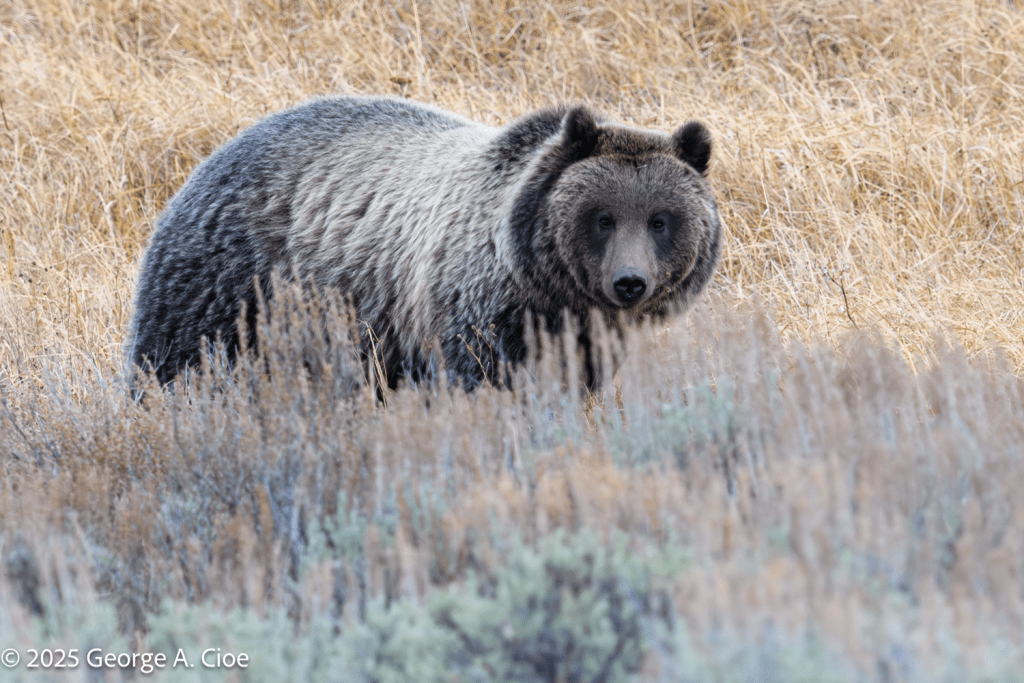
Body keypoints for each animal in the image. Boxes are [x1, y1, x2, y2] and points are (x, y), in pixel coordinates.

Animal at [125, 96, 722, 391]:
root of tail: (211, 158)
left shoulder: (587, 333)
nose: (630, 283)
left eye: (661, 220)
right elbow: (484, 378)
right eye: (602, 218)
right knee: (178, 362)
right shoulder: (472, 309)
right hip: (232, 287)